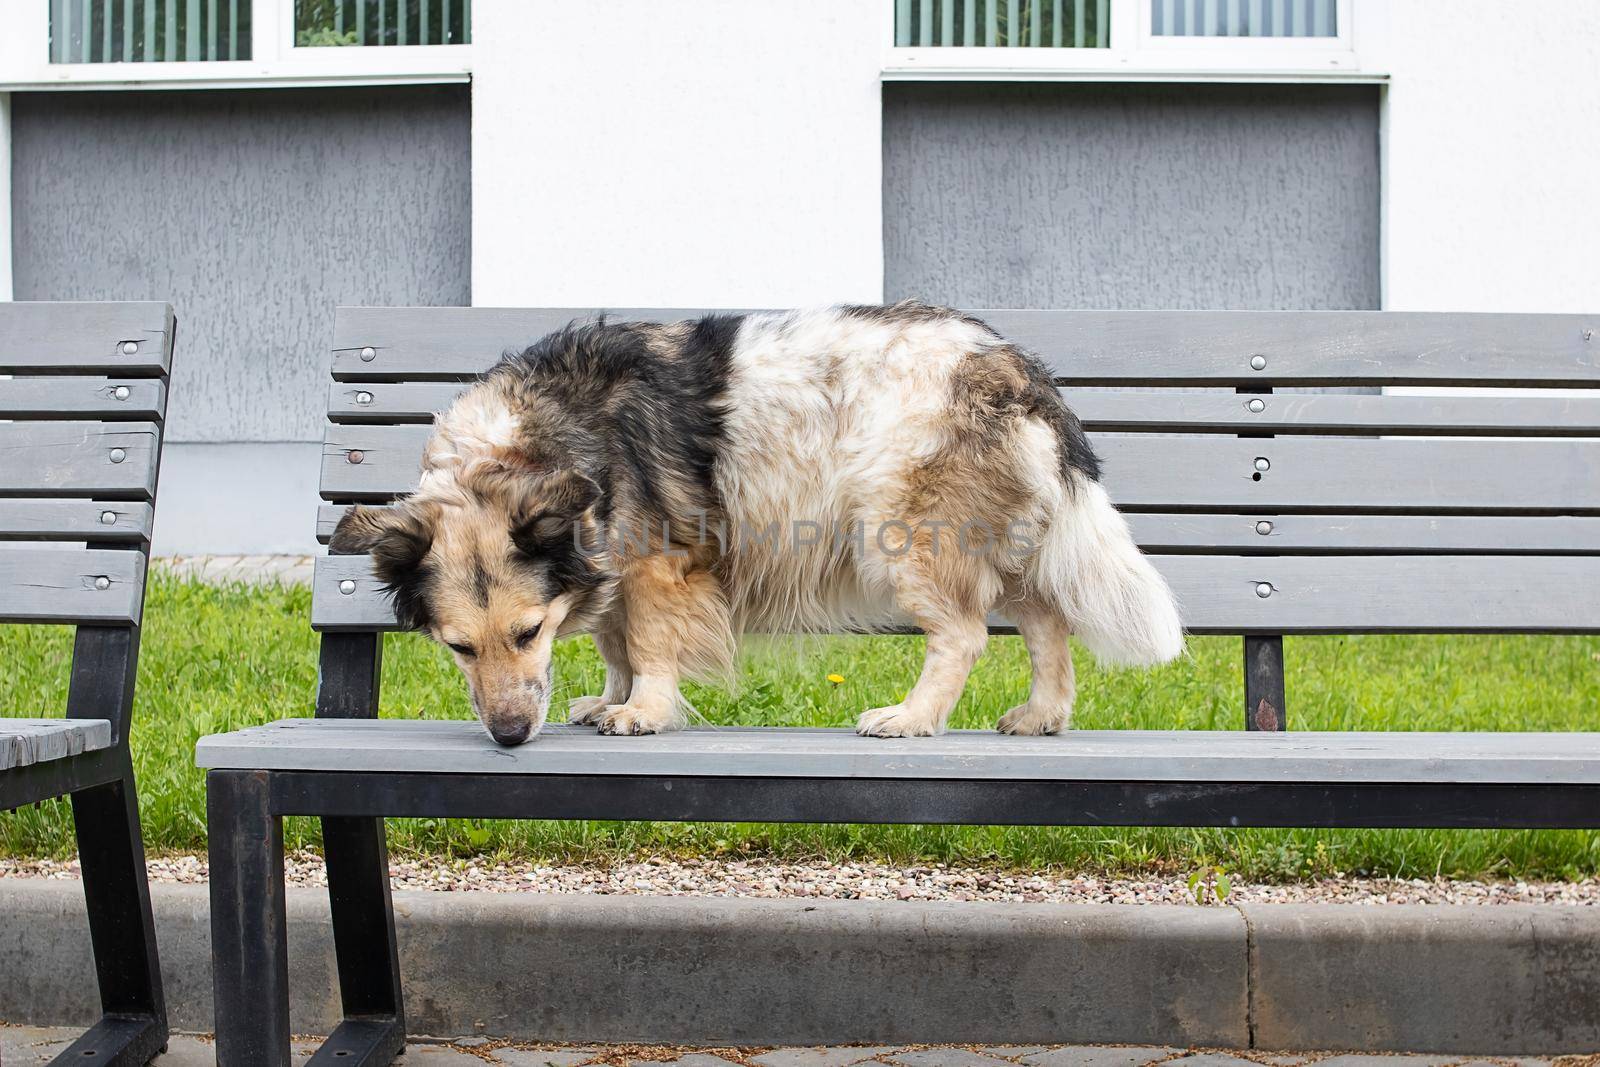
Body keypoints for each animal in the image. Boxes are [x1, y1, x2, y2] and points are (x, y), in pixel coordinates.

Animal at [331, 303, 1184, 748]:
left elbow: (647, 643)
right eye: (457, 648)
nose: (509, 735)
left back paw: (911, 718)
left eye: (528, 631)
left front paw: (642, 710)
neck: (530, 441)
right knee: (1047, 623)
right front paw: (608, 698)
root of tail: (1012, 363)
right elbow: (613, 639)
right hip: (998, 541)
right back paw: (1043, 715)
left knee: (965, 635)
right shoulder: (611, 566)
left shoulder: (658, 563)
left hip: (906, 533)